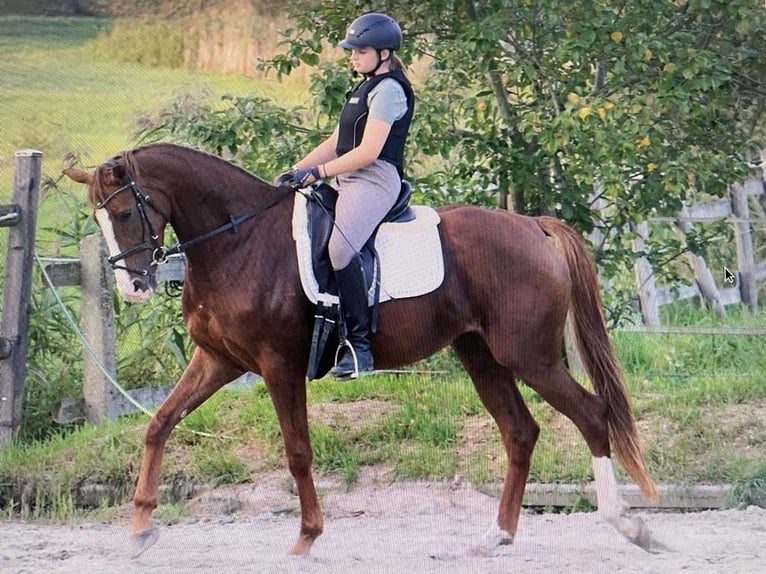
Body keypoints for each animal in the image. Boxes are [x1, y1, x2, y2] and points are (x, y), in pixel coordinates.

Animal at [63, 142, 660, 560]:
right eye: (97, 219)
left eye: (123, 214)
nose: (132, 288)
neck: (240, 242)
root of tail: (534, 227)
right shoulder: (218, 361)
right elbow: (159, 424)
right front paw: (141, 528)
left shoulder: (279, 366)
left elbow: (297, 452)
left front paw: (307, 537)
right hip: (481, 356)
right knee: (520, 431)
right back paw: (497, 536)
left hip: (530, 357)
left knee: (592, 414)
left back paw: (630, 525)